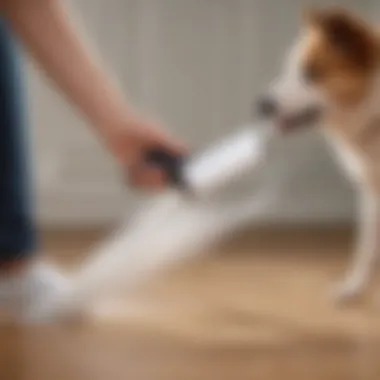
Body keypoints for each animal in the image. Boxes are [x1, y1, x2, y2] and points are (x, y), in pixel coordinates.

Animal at [256, 7, 380, 302]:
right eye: (288, 69)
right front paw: (353, 287)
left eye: (311, 73)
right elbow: (366, 247)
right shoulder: (370, 190)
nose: (260, 105)